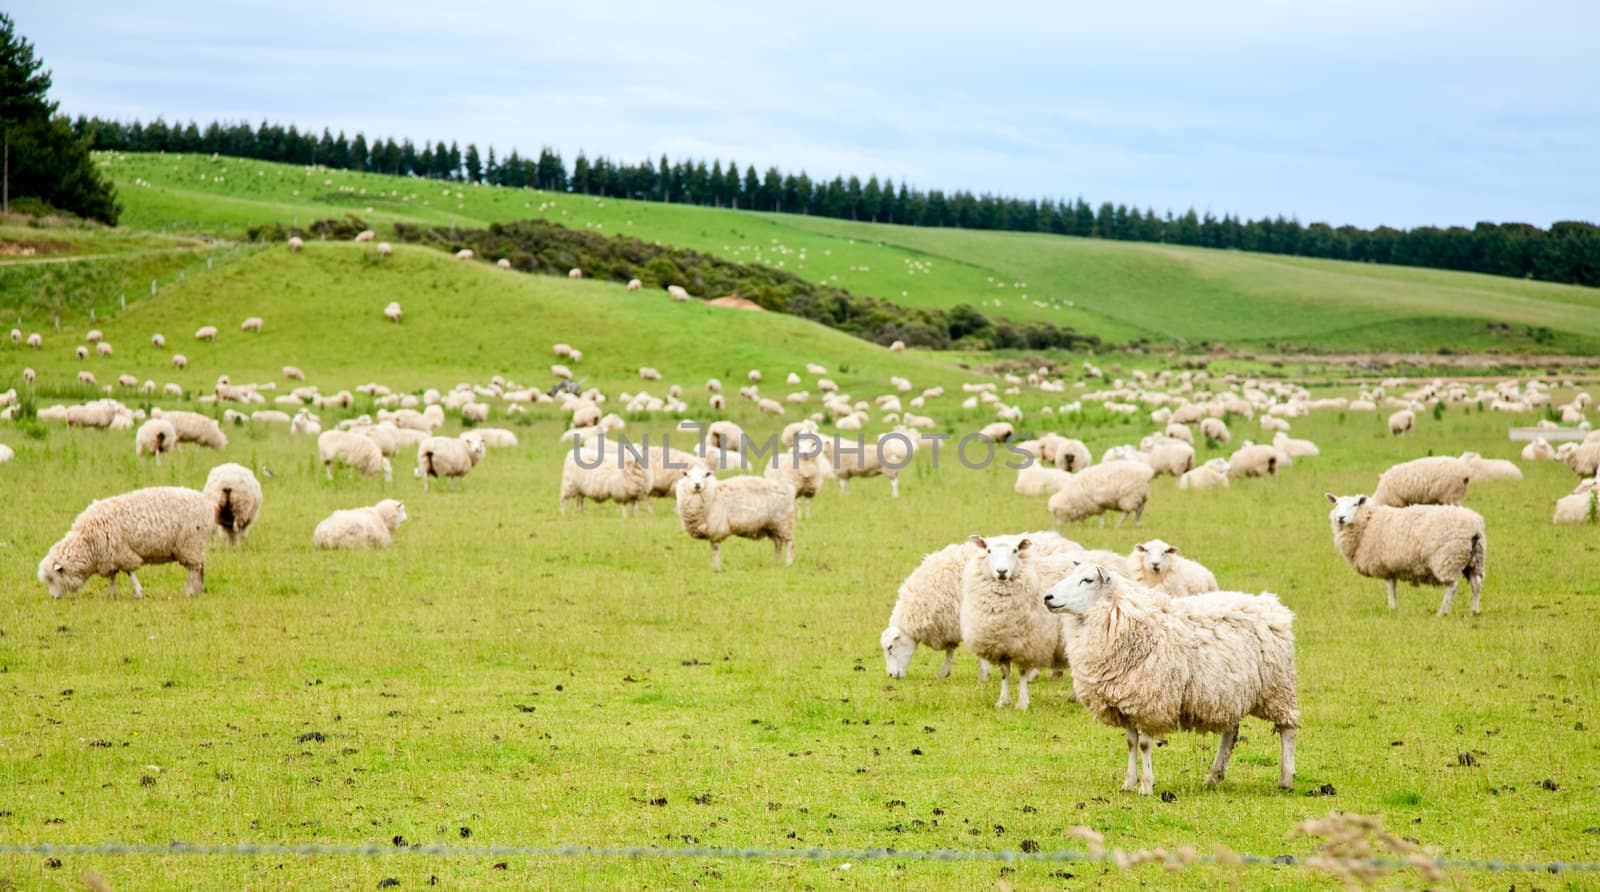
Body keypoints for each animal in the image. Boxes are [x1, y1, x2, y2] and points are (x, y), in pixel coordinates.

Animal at [39, 489, 222, 601]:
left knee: (193, 569)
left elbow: (130, 572)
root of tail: (207, 504)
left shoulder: (122, 551)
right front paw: (112, 594)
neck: (87, 542)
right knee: (200, 566)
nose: (53, 597)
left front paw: (138, 592)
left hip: (190, 543)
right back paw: (199, 589)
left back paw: (190, 591)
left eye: (52, 578)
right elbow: (113, 576)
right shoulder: (110, 556)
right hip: (195, 545)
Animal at [1049, 565, 1299, 796]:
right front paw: (1128, 783)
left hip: (1278, 688)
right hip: (1228, 693)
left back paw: (1285, 779)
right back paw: (1213, 777)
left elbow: (1144, 744)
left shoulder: (1150, 702)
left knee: (1288, 729)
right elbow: (1130, 743)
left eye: (1087, 580)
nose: (1047, 597)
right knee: (1230, 733)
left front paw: (1146, 786)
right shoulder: (1125, 702)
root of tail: (1272, 605)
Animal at [1324, 492, 1484, 620]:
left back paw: (1442, 612)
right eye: (1336, 504)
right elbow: (1393, 587)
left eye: (1355, 504)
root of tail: (1475, 526)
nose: (1341, 518)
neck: (1368, 522)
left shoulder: (1384, 566)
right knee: (1476, 584)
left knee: (1452, 586)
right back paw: (1475, 611)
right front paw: (1394, 609)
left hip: (1448, 558)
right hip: (1474, 560)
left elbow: (1390, 588)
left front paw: (1391, 609)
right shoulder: (1391, 566)